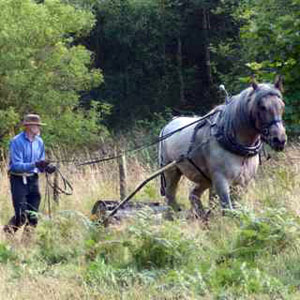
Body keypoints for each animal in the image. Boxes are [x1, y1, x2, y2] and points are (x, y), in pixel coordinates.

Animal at [158, 77, 288, 216]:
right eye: (262, 107)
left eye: (282, 106)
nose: (279, 140)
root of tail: (168, 125)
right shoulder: (221, 181)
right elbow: (228, 209)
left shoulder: (243, 183)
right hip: (171, 171)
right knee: (170, 197)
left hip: (204, 178)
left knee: (193, 195)